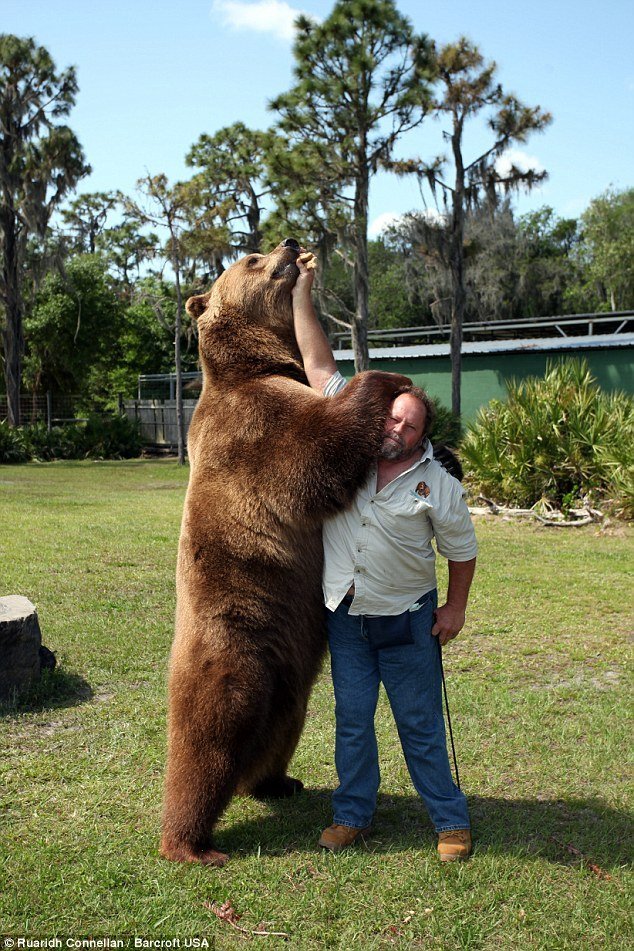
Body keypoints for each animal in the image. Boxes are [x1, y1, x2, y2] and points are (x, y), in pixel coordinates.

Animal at [160, 239, 411, 866]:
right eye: (250, 258)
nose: (292, 245)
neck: (258, 364)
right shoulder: (257, 425)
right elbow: (319, 447)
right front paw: (386, 376)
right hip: (234, 646)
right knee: (207, 739)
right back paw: (190, 843)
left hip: (291, 674)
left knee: (280, 731)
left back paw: (277, 782)